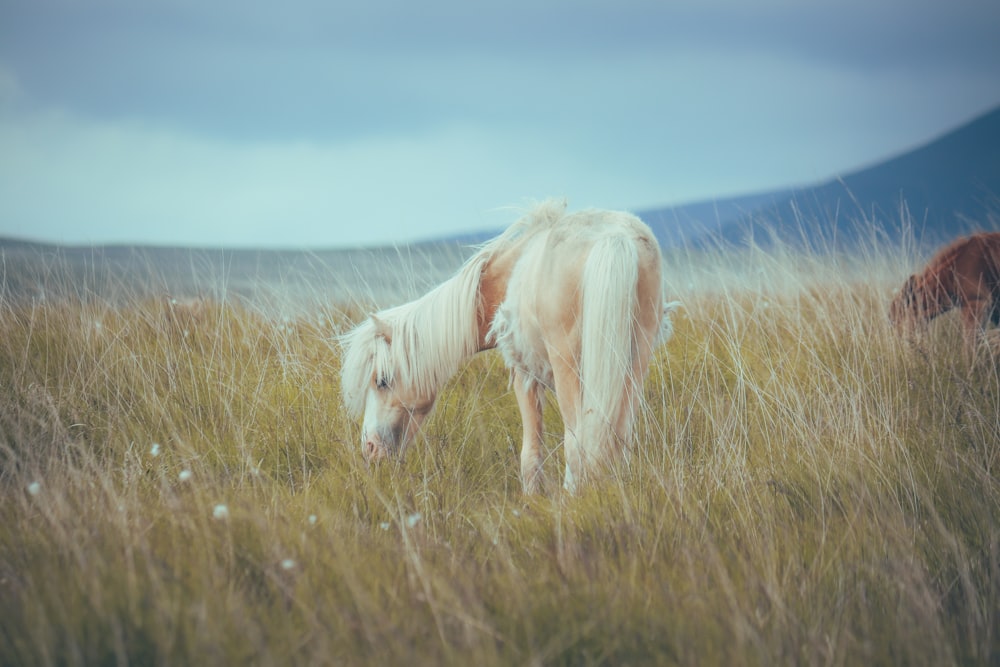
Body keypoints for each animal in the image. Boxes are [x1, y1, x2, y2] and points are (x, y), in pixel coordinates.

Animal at [338, 201, 680, 494]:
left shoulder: (524, 374)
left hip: (570, 369)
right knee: (619, 437)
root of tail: (614, 238)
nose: (370, 448)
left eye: (382, 381)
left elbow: (530, 455)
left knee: (579, 442)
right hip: (634, 363)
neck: (507, 276)